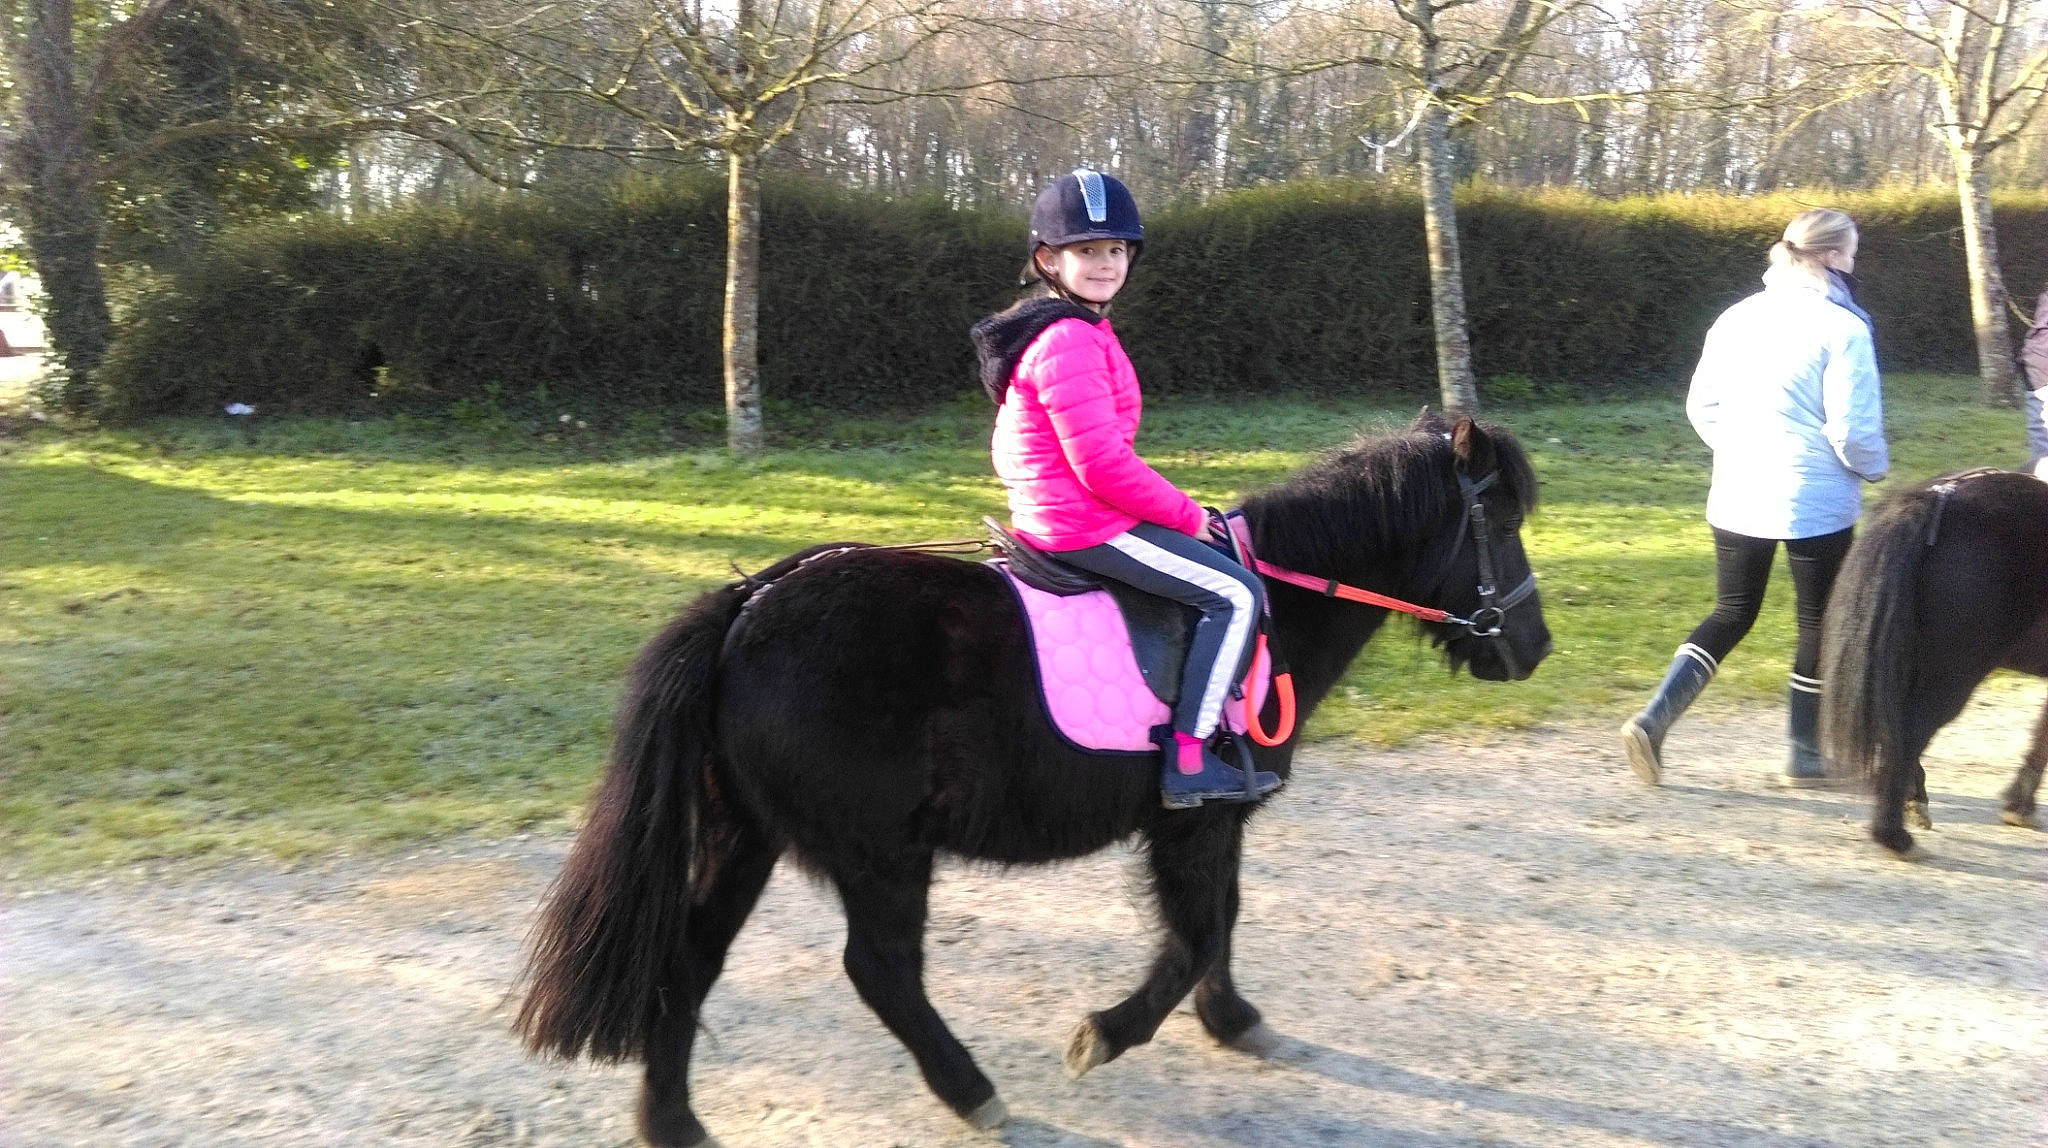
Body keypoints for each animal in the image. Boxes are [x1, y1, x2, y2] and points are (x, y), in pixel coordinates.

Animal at [515, 413, 1553, 1147]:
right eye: (1500, 521)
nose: (1536, 648)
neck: (1271, 608)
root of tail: (745, 604)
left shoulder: (1215, 822)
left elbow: (1221, 922)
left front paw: (1234, 1020)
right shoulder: (1193, 821)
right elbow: (1196, 934)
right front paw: (1109, 1032)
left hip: (746, 837)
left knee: (690, 959)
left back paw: (674, 1123)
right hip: (880, 851)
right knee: (880, 970)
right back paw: (972, 1093)